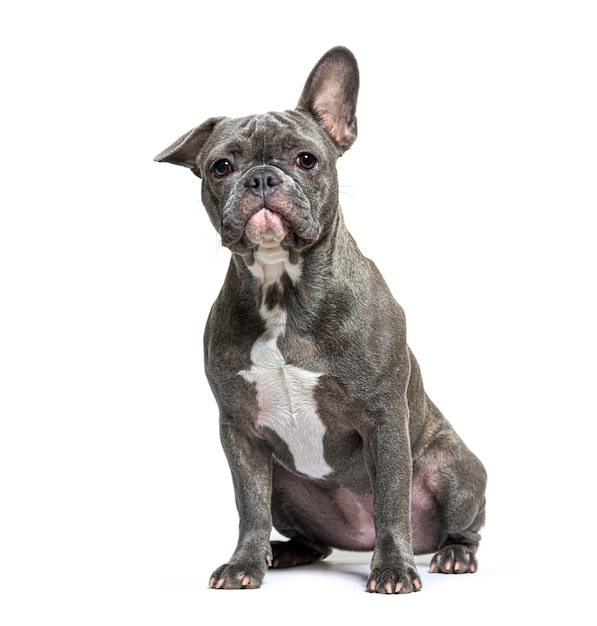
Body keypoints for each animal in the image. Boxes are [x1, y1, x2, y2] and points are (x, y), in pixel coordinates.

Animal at [154, 46, 484, 592]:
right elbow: (250, 505)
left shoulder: (384, 416)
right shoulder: (239, 430)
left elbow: (391, 498)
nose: (262, 177)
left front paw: (393, 569)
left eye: (305, 160)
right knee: (303, 532)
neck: (281, 291)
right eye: (221, 166)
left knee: (461, 524)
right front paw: (244, 564)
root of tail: (356, 538)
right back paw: (281, 553)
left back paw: (453, 554)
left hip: (455, 468)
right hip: (287, 486)